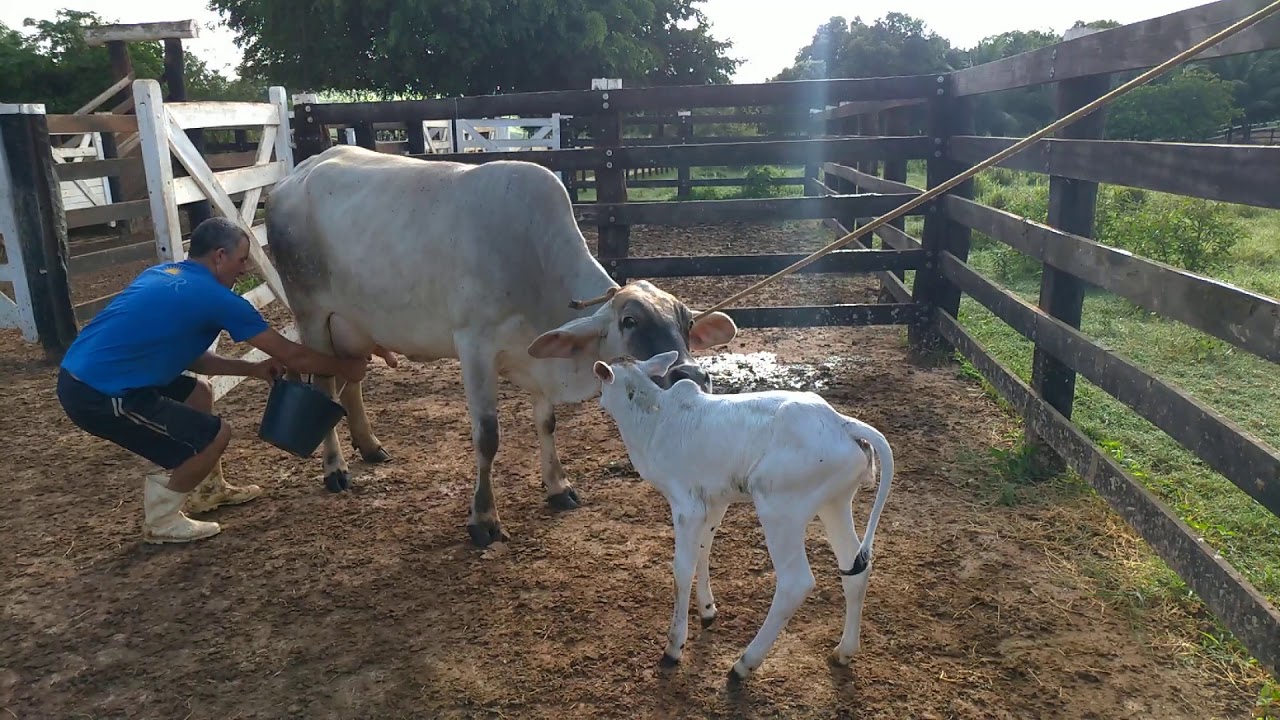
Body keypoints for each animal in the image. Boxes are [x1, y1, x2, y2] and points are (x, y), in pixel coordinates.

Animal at [264, 144, 738, 547]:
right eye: (629, 320)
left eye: (687, 321)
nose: (692, 375)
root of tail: (295, 176)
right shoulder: (474, 346)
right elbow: (487, 437)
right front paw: (484, 519)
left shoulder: (537, 357)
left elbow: (547, 423)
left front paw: (558, 486)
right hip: (311, 315)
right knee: (324, 386)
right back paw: (335, 468)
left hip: (354, 325)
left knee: (351, 385)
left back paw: (370, 446)